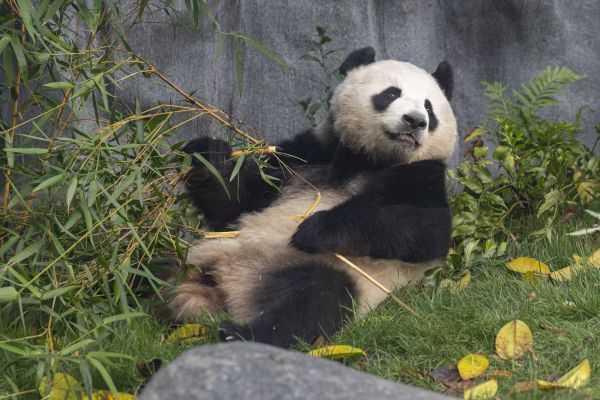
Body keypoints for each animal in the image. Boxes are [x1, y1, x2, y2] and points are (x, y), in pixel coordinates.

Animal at [166, 46, 458, 346]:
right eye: (391, 93)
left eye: (429, 107)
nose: (415, 121)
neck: (370, 159)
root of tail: (223, 291)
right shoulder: (307, 154)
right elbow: (236, 203)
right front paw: (206, 156)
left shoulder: (421, 176)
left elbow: (425, 229)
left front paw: (313, 230)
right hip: (193, 258)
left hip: (316, 270)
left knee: (314, 298)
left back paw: (239, 334)